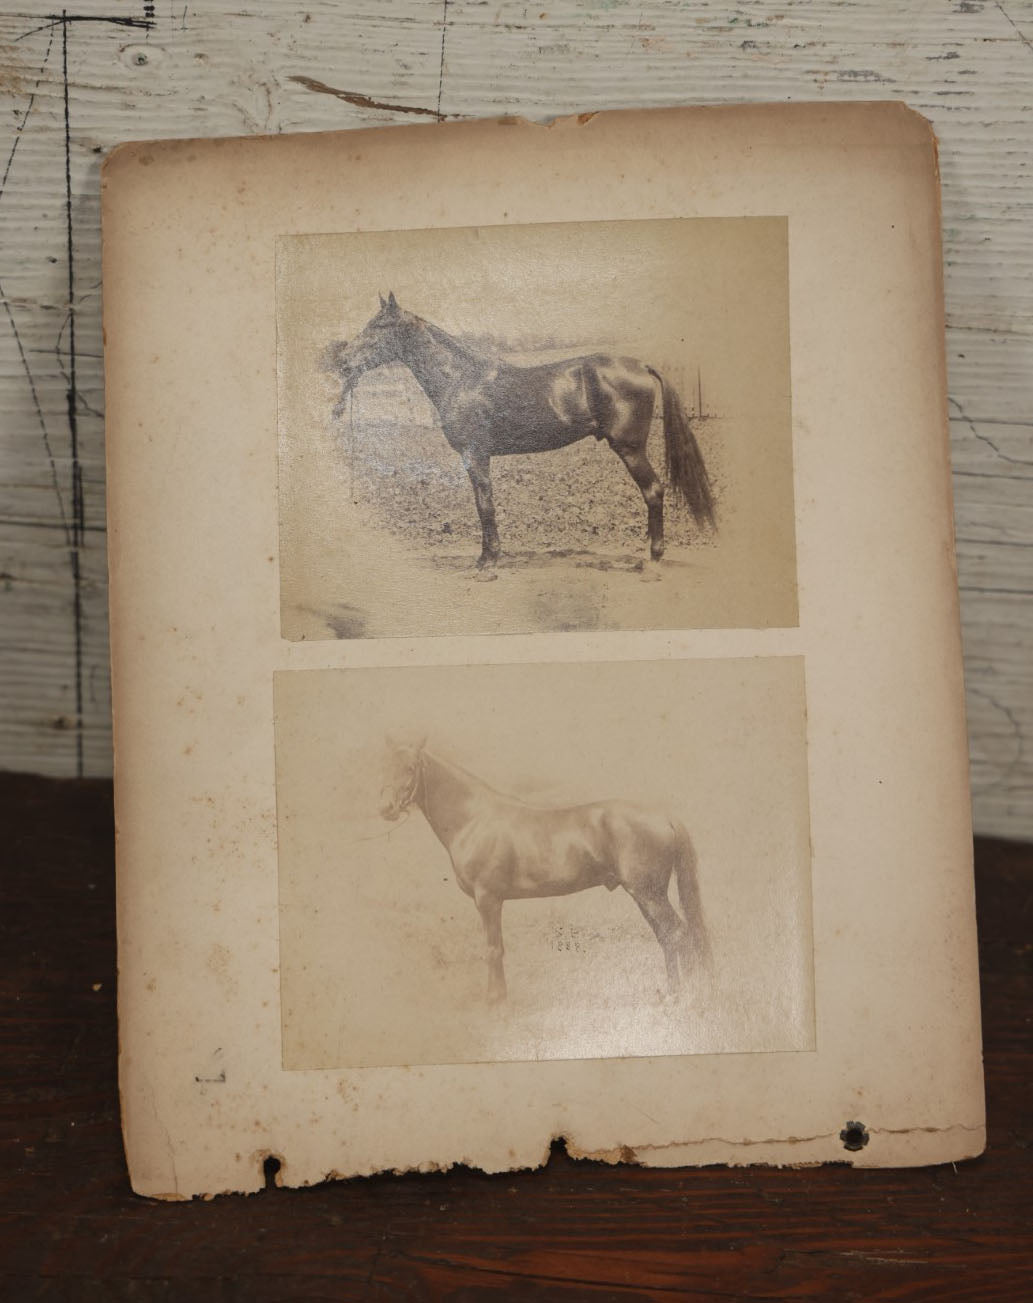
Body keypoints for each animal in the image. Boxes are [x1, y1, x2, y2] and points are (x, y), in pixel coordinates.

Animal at [326, 298, 713, 583]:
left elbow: (485, 506)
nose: (342, 362)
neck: (462, 379)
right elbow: (483, 506)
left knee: (653, 491)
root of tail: (642, 365)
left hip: (630, 449)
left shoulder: (475, 455)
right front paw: (485, 560)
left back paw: (653, 561)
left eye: (379, 328)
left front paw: (488, 565)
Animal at [377, 740, 708, 1000]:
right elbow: (498, 948)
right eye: (383, 768)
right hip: (644, 895)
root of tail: (664, 817)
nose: (386, 808)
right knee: (667, 936)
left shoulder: (488, 899)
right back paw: (673, 993)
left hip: (649, 894)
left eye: (410, 768)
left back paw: (685, 996)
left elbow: (492, 949)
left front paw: (495, 1002)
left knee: (677, 933)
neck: (474, 819)